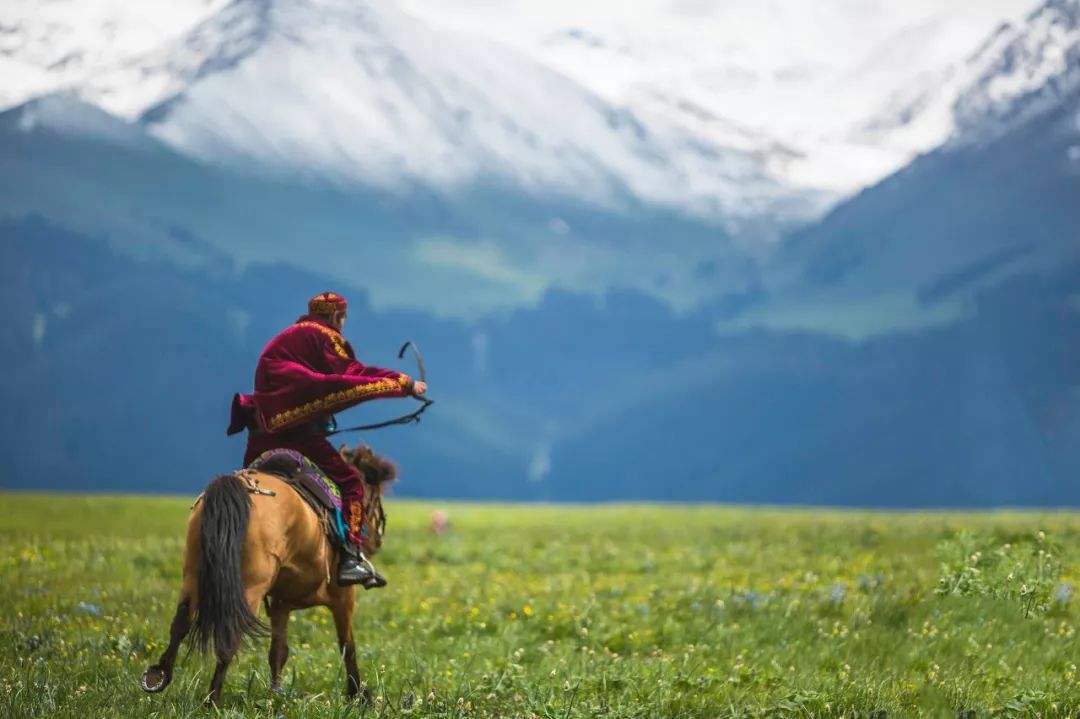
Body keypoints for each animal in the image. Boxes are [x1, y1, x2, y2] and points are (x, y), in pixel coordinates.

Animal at [139, 442, 397, 703]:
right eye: (374, 497)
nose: (376, 540)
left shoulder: (280, 603)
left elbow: (279, 650)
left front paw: (276, 694)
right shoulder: (343, 597)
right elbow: (348, 646)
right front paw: (357, 694)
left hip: (193, 575)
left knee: (181, 622)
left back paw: (159, 676)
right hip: (250, 587)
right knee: (229, 638)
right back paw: (213, 700)